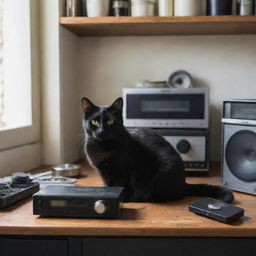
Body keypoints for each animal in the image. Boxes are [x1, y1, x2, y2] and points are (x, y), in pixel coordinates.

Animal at [82, 97, 234, 203]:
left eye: (110, 122)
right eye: (95, 122)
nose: (101, 131)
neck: (103, 146)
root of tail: (184, 183)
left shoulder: (126, 170)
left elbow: (123, 186)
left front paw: (123, 199)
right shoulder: (104, 172)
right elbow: (110, 185)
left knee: (172, 195)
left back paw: (143, 198)